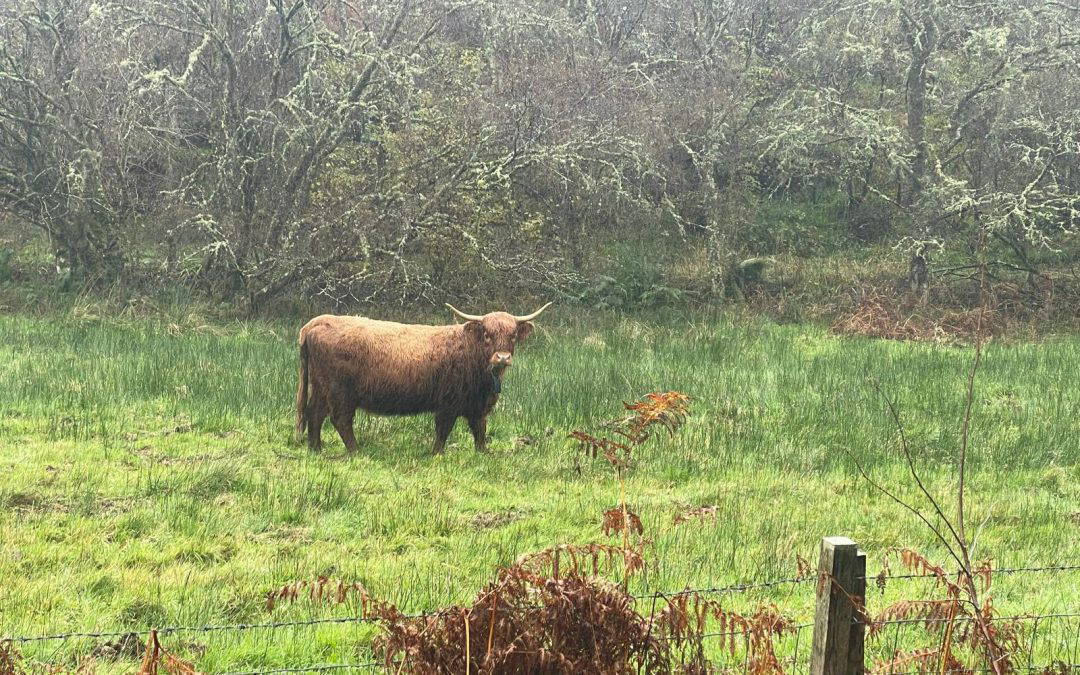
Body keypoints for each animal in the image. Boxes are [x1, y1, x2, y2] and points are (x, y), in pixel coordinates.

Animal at [294, 302, 552, 454]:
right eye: (487, 335)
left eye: (513, 335)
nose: (502, 357)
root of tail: (318, 321)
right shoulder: (448, 403)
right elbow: (443, 430)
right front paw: (436, 453)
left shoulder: (478, 406)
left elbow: (480, 430)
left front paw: (482, 454)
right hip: (340, 391)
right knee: (340, 419)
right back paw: (356, 451)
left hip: (321, 387)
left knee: (314, 413)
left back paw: (316, 449)